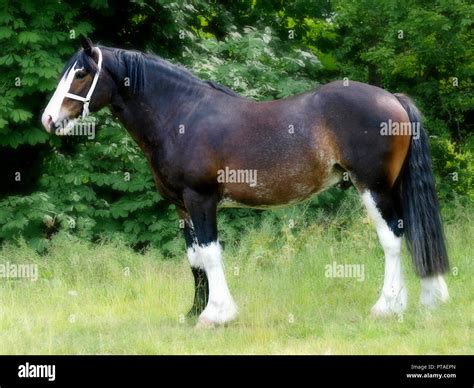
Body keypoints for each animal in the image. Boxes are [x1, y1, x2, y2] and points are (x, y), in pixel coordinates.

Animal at [40, 38, 448, 328]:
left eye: (80, 74)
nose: (48, 119)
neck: (181, 115)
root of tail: (392, 98)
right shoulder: (182, 207)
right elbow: (195, 260)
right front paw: (194, 312)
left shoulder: (201, 199)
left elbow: (211, 254)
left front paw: (216, 315)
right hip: (392, 188)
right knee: (414, 233)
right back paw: (428, 301)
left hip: (374, 188)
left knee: (393, 240)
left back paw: (386, 307)